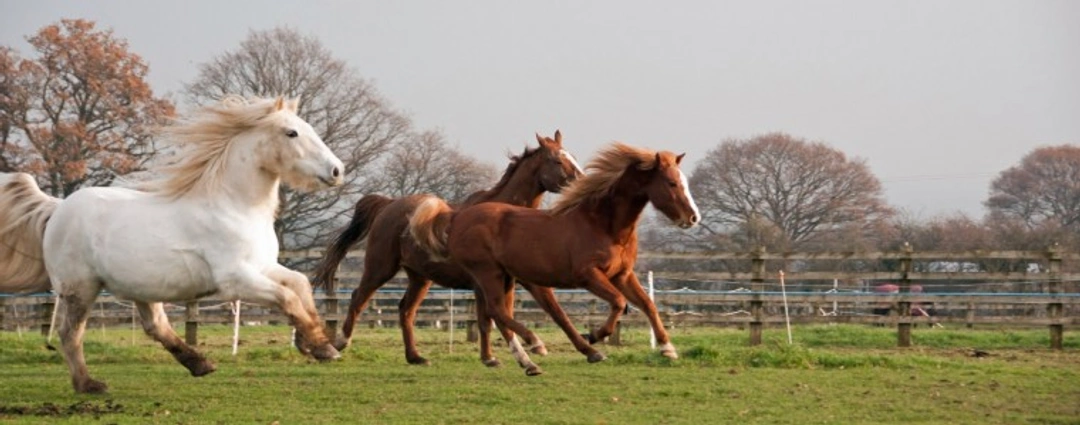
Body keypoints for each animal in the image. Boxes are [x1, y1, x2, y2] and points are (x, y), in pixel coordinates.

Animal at [0, 96, 345, 393]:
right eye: (291, 132)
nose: (337, 170)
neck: (234, 207)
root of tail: (57, 208)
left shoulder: (263, 267)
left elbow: (300, 286)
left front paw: (316, 343)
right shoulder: (235, 280)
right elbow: (288, 298)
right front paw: (322, 347)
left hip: (141, 288)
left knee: (155, 326)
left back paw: (200, 364)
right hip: (80, 289)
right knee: (70, 334)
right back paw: (89, 385)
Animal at [311, 131, 595, 366]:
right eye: (557, 161)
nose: (584, 184)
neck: (505, 218)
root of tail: (388, 204)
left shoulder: (509, 281)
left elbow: (523, 315)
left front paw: (492, 357)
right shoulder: (495, 281)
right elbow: (501, 317)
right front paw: (528, 348)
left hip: (420, 277)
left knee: (406, 310)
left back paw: (415, 357)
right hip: (380, 268)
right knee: (359, 297)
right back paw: (340, 343)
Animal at [408, 142, 700, 375]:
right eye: (672, 183)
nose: (693, 217)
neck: (604, 224)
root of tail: (458, 216)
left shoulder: (622, 275)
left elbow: (648, 305)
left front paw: (667, 349)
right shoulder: (588, 275)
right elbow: (618, 303)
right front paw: (594, 336)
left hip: (504, 277)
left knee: (495, 314)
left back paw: (527, 362)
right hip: (487, 273)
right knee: (496, 311)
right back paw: (534, 345)